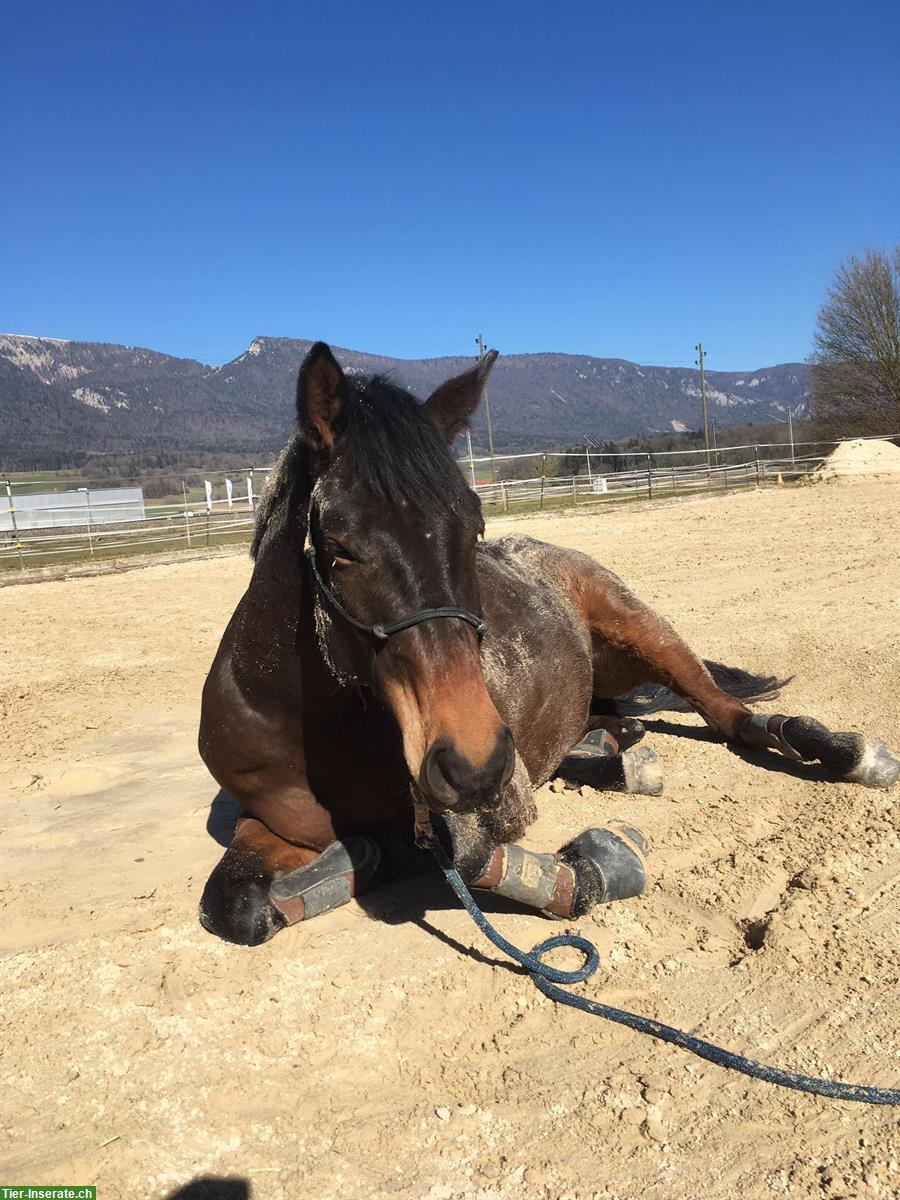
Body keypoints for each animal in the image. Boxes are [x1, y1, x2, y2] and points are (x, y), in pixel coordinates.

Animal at [199, 345, 900, 945]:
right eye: (339, 547)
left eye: (474, 526)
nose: (474, 763)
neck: (314, 723)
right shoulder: (272, 820)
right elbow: (235, 906)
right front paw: (355, 859)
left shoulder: (488, 805)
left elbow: (471, 860)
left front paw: (602, 864)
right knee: (616, 727)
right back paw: (614, 757)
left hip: (644, 630)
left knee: (735, 716)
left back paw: (845, 751)